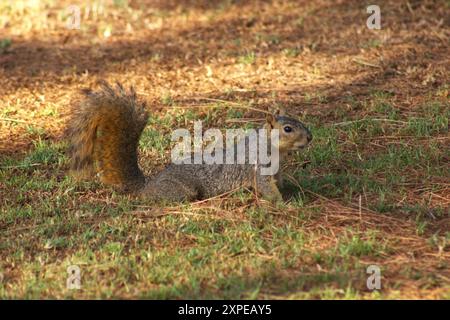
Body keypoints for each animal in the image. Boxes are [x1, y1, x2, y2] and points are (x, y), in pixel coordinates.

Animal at [66, 82, 312, 202]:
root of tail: (148, 186)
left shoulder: (276, 170)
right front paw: (285, 204)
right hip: (182, 189)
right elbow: (266, 188)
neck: (273, 149)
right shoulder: (259, 168)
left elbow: (279, 182)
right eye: (288, 129)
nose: (310, 137)